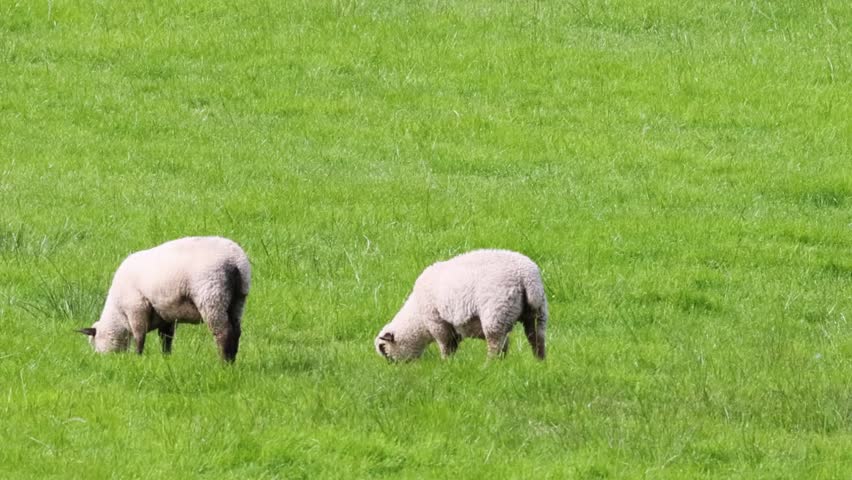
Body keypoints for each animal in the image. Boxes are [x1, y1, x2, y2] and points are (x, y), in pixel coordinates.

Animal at [77, 236, 251, 363]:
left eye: (93, 342)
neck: (118, 314)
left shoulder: (137, 309)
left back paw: (223, 362)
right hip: (238, 299)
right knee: (236, 331)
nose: (102, 360)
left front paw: (137, 358)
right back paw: (232, 361)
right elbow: (165, 339)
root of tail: (234, 262)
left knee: (223, 332)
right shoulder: (165, 314)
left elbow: (139, 337)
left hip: (211, 295)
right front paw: (166, 358)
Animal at [374, 249, 548, 362]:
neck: (418, 319)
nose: (393, 366)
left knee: (494, 342)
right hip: (537, 312)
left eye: (384, 349)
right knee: (536, 338)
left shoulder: (438, 323)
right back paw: (539, 362)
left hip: (496, 312)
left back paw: (489, 365)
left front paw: (446, 364)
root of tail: (526, 275)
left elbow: (446, 346)